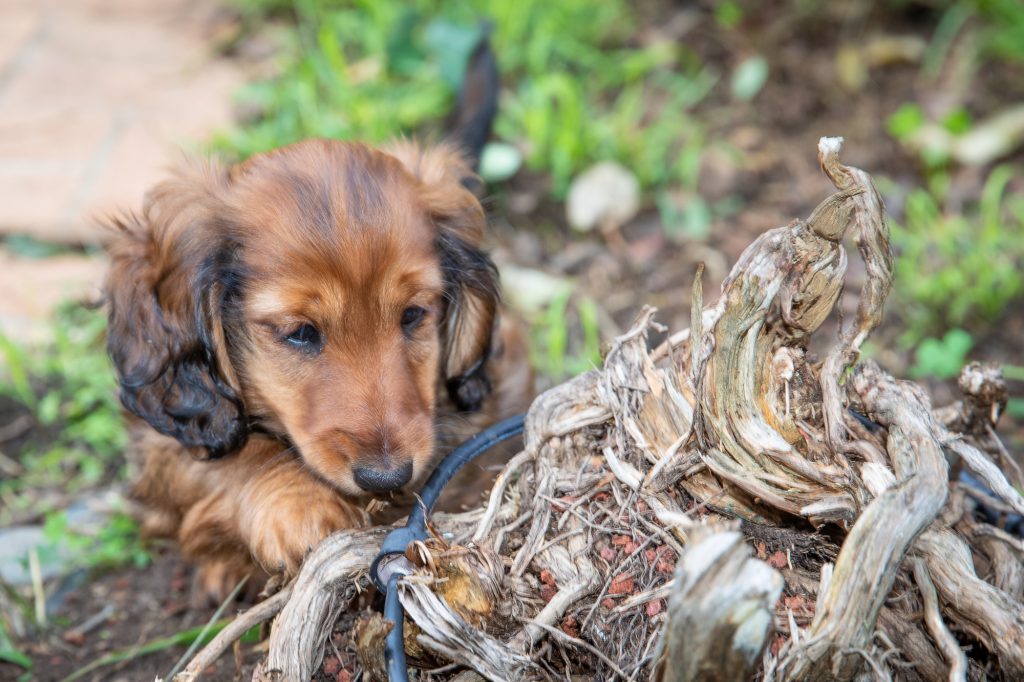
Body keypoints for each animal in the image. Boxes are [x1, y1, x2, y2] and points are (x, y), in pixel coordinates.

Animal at [104, 42, 532, 593]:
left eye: (414, 314)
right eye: (300, 333)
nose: (386, 476)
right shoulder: (164, 438)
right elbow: (229, 457)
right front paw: (299, 504)